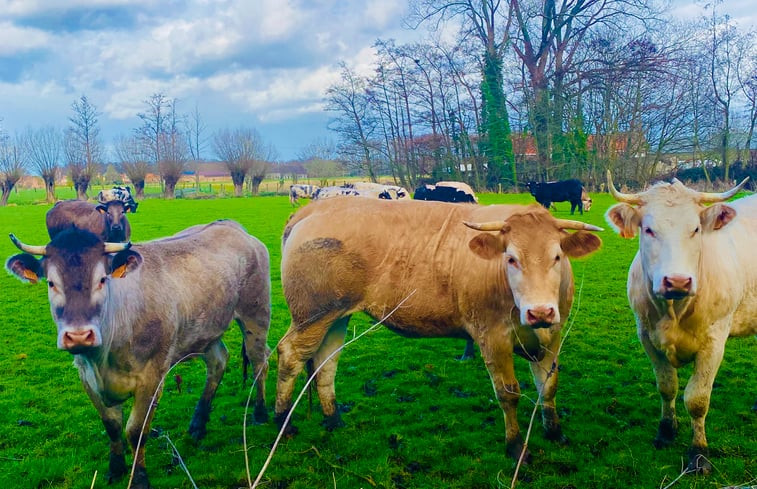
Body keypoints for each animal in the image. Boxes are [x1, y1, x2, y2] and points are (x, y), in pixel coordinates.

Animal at [5, 220, 272, 488]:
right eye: (51, 283)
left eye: (102, 279)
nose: (79, 336)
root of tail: (231, 225)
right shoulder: (86, 376)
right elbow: (112, 426)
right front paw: (115, 468)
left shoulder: (152, 378)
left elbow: (136, 431)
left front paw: (139, 478)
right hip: (205, 330)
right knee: (218, 362)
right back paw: (198, 424)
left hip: (255, 314)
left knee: (260, 360)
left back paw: (260, 413)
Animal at [274, 195, 600, 462]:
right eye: (511, 258)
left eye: (557, 256)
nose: (539, 311)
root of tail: (313, 208)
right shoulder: (492, 337)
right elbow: (509, 393)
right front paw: (516, 447)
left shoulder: (553, 335)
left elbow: (548, 386)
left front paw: (555, 433)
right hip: (312, 314)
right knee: (290, 356)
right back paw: (283, 422)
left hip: (335, 315)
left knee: (325, 362)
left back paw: (333, 419)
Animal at [604, 172, 756, 472]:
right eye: (648, 229)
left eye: (696, 229)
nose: (677, 281)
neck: (673, 311)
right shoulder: (646, 336)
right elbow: (667, 387)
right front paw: (666, 432)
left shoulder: (714, 343)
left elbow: (697, 399)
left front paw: (698, 453)